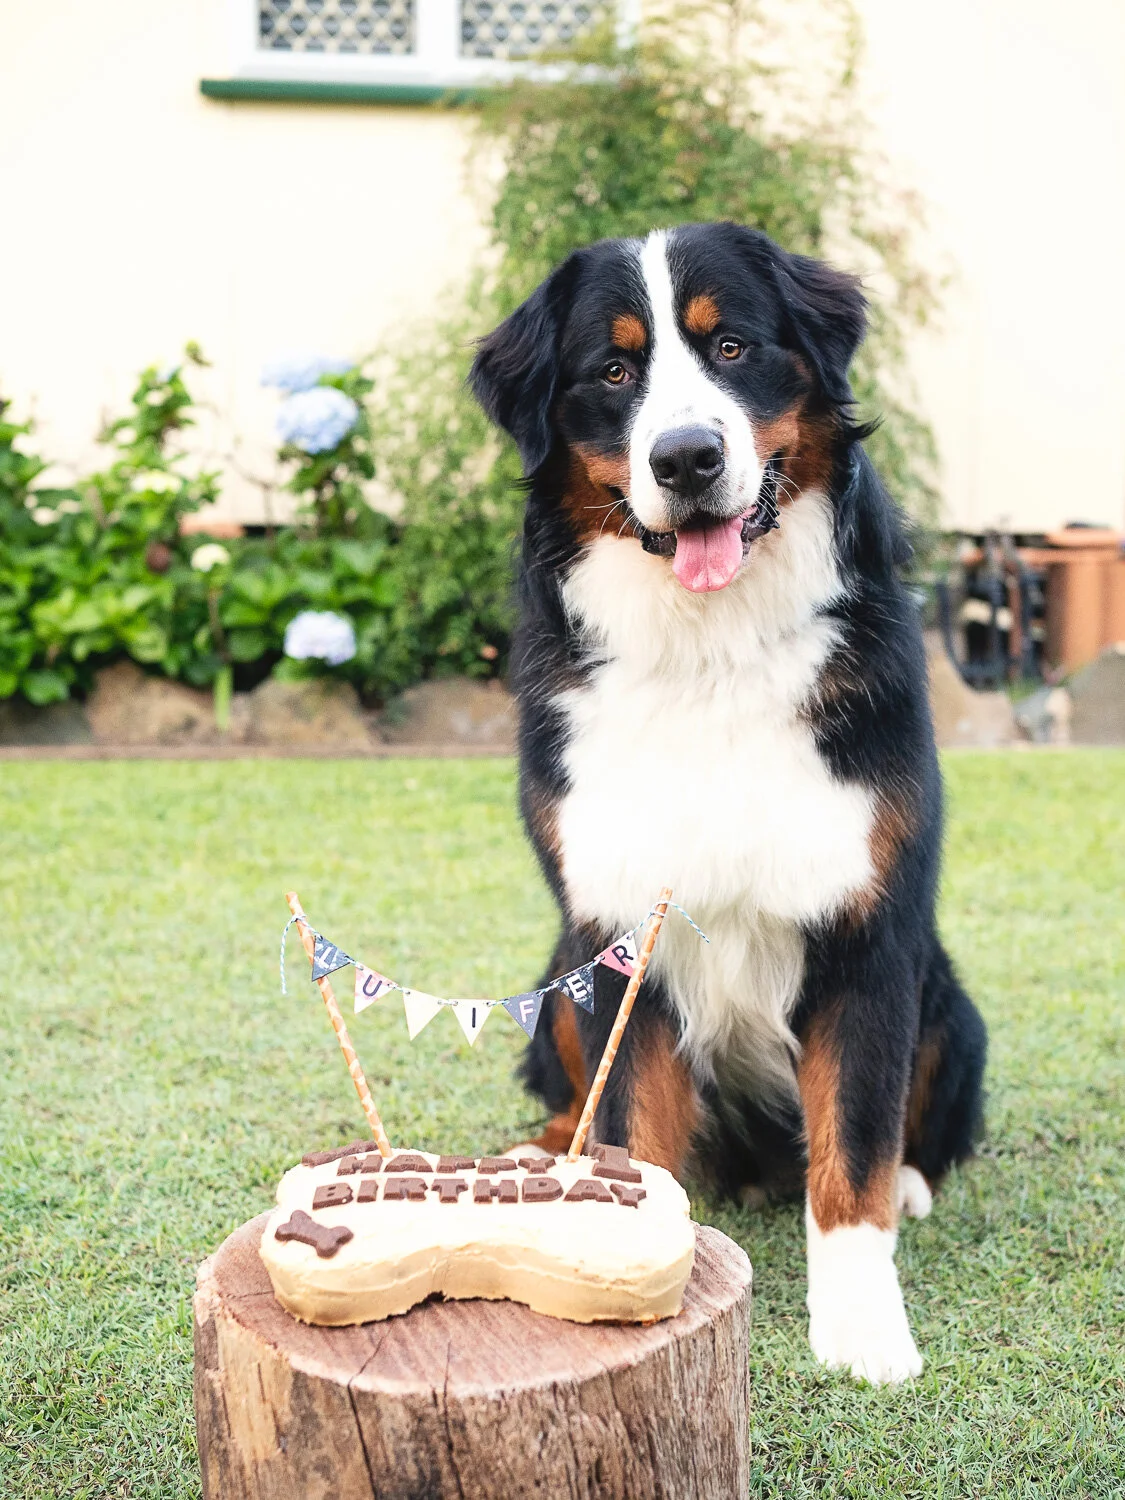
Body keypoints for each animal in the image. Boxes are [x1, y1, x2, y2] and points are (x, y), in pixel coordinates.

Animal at [469, 221, 986, 1384]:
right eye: (614, 372)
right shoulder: (616, 936)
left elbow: (854, 1153)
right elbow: (629, 1123)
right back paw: (541, 1157)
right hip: (555, 981)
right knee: (569, 1100)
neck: (709, 653)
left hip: (947, 1002)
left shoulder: (868, 936)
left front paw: (862, 1328)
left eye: (734, 347)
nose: (686, 458)